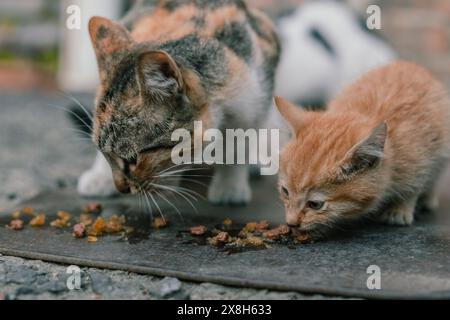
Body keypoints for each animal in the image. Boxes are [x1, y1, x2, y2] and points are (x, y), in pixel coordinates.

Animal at [78, 0, 280, 205]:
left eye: (133, 159)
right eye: (107, 155)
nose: (121, 189)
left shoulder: (254, 99)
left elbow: (239, 144)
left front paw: (229, 187)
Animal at [274, 61, 450, 239]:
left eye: (315, 204)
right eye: (285, 191)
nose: (291, 223)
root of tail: (407, 63)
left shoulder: (421, 155)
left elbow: (414, 185)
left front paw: (401, 208)